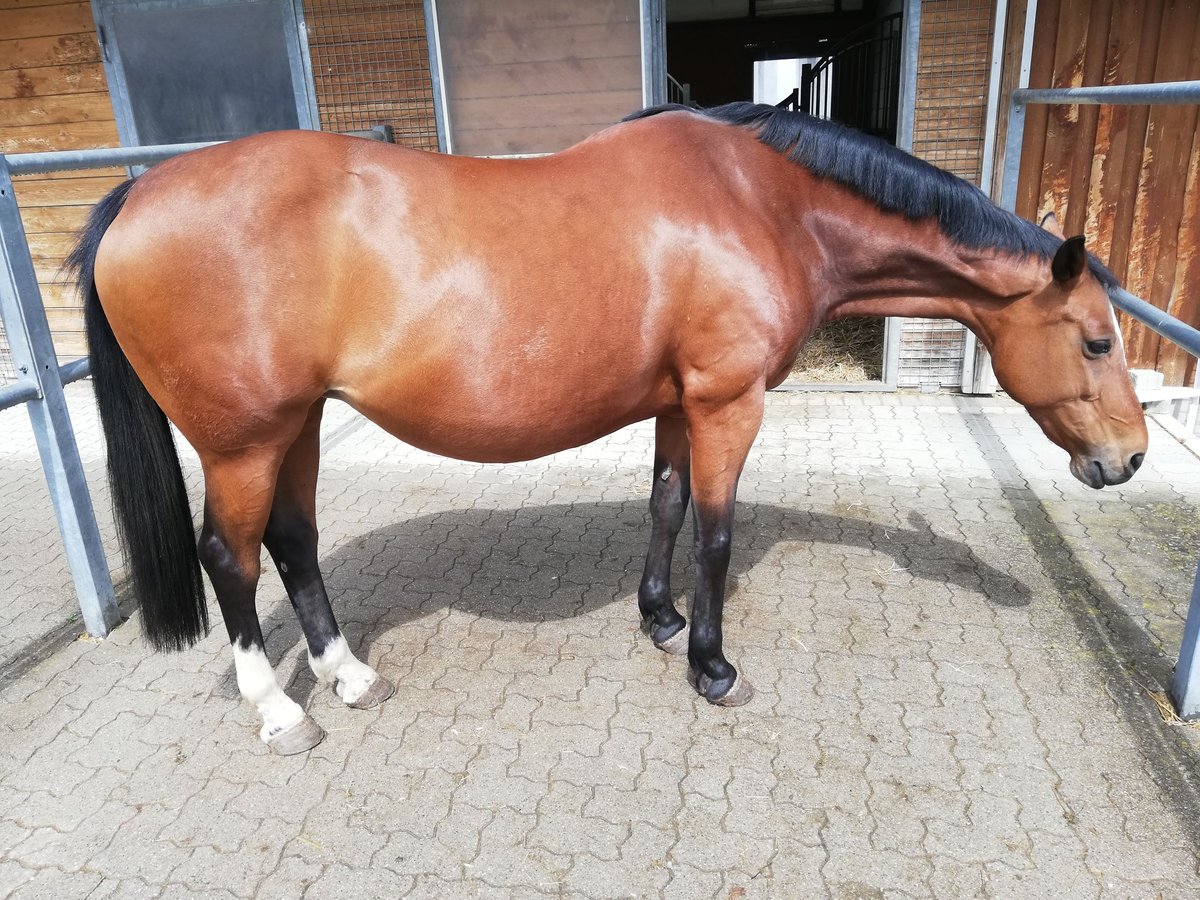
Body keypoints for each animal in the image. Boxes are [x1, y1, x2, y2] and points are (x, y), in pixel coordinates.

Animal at [70, 103, 1147, 753]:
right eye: (1096, 341)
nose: (1129, 458)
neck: (761, 202)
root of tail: (140, 192)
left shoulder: (678, 402)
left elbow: (666, 509)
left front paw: (661, 622)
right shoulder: (726, 402)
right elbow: (715, 533)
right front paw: (714, 666)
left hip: (294, 428)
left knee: (293, 542)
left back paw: (349, 676)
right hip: (243, 442)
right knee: (232, 558)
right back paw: (280, 709)